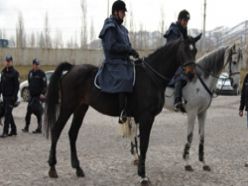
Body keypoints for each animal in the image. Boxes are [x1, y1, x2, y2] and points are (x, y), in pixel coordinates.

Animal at [46, 35, 202, 185]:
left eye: (195, 51)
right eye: (184, 50)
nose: (191, 74)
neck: (151, 77)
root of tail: (72, 68)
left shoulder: (142, 118)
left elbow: (140, 143)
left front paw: (140, 170)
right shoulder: (146, 117)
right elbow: (144, 144)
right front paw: (143, 176)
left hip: (80, 108)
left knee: (72, 133)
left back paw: (78, 168)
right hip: (68, 107)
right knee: (56, 130)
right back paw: (52, 168)